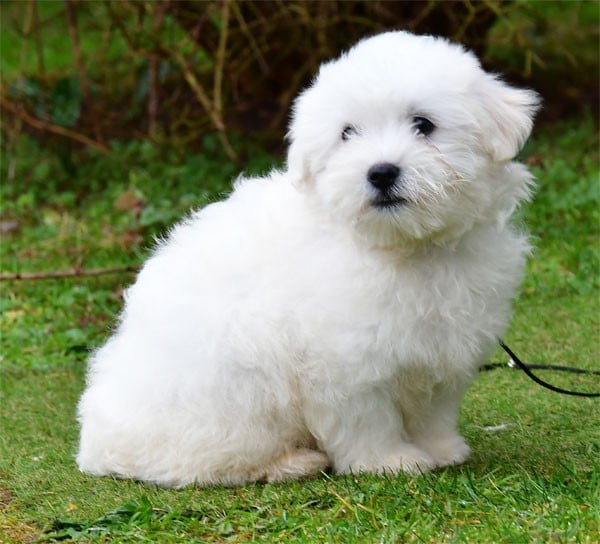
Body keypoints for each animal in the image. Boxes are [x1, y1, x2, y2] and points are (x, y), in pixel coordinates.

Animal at [77, 31, 539, 487]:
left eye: (423, 124)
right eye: (347, 133)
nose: (381, 172)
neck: (403, 246)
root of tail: (96, 447)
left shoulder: (442, 347)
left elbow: (433, 409)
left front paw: (441, 449)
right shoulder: (347, 362)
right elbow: (367, 418)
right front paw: (389, 461)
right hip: (228, 396)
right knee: (203, 461)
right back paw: (292, 462)